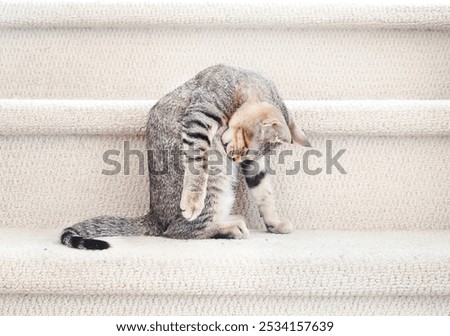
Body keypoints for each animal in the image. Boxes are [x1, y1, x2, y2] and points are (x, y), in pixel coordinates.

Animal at [59, 65, 310, 249]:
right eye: (245, 146)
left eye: (248, 154)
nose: (234, 157)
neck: (242, 83)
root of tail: (156, 217)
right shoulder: (199, 115)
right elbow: (198, 163)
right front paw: (192, 201)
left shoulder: (254, 166)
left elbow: (264, 193)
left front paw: (274, 222)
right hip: (215, 186)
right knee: (179, 231)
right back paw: (229, 227)